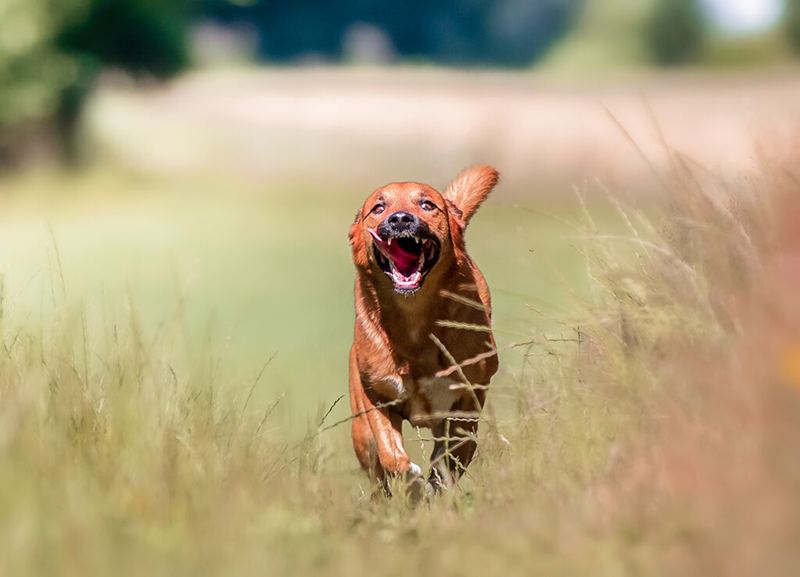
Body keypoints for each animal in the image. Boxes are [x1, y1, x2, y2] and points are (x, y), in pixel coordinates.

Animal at [346, 163, 496, 490]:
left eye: (427, 205)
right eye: (378, 207)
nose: (400, 218)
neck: (414, 319)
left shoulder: (468, 400)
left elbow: (450, 459)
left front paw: (434, 485)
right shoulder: (376, 398)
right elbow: (392, 456)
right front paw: (413, 486)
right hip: (361, 436)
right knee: (377, 474)